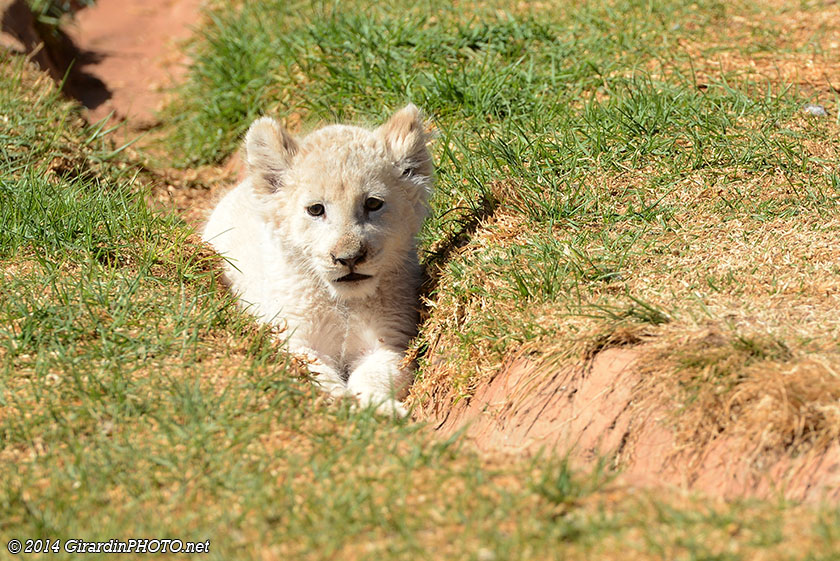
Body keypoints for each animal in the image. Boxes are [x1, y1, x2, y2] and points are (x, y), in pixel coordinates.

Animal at [202, 105, 433, 417]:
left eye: (373, 203)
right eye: (315, 209)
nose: (349, 258)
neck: (343, 303)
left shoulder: (388, 339)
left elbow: (374, 376)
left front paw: (381, 410)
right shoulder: (292, 338)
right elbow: (314, 375)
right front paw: (340, 404)